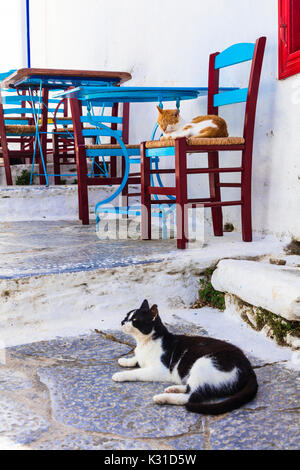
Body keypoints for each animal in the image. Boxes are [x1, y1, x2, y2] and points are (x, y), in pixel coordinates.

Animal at [112, 300, 258, 414]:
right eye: (126, 316)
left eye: (135, 320)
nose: (122, 322)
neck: (144, 342)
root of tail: (249, 368)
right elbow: (136, 359)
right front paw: (125, 360)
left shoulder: (159, 370)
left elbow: (137, 372)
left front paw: (120, 375)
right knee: (190, 388)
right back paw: (174, 388)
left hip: (203, 363)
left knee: (192, 396)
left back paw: (162, 398)